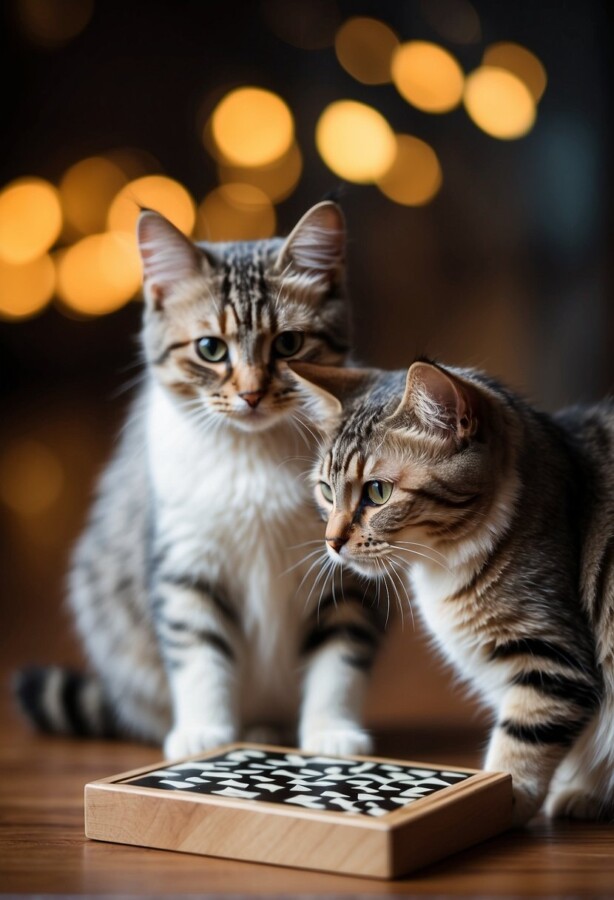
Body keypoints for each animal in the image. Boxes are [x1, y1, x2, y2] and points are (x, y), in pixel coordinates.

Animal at [16, 204, 388, 760]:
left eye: (289, 343)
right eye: (211, 348)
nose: (252, 395)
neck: (252, 457)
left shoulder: (345, 563)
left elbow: (338, 656)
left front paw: (330, 733)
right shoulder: (186, 559)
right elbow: (198, 651)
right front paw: (204, 733)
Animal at [290, 356, 614, 824]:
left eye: (378, 492)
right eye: (326, 491)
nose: (331, 542)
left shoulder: (554, 656)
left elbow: (519, 747)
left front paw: (495, 802)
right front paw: (583, 794)